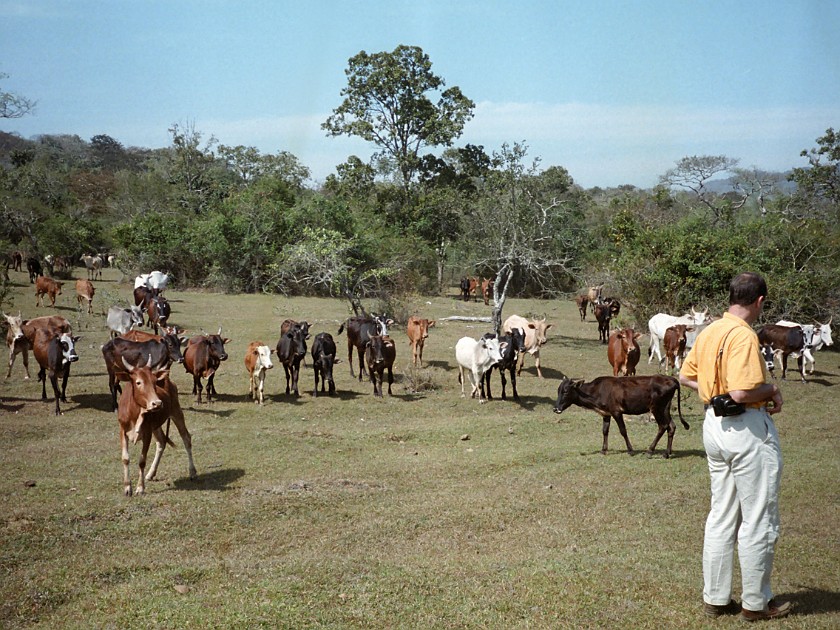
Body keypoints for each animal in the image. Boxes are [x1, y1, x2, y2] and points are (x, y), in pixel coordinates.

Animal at [117, 360, 198, 498]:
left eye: (155, 381)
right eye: (138, 382)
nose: (157, 403)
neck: (134, 413)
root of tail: (168, 380)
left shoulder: (147, 433)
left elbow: (142, 461)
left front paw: (140, 488)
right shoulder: (123, 430)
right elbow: (125, 458)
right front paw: (127, 488)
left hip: (177, 412)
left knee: (186, 438)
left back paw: (192, 472)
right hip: (157, 425)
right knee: (161, 442)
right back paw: (150, 474)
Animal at [552, 376, 688, 460]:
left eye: (566, 391)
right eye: (558, 390)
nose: (556, 408)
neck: (596, 391)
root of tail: (671, 379)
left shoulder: (616, 412)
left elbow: (623, 430)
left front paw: (630, 450)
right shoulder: (606, 414)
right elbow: (605, 431)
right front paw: (603, 450)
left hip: (656, 408)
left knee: (663, 426)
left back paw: (650, 451)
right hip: (665, 408)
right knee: (671, 426)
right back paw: (667, 453)